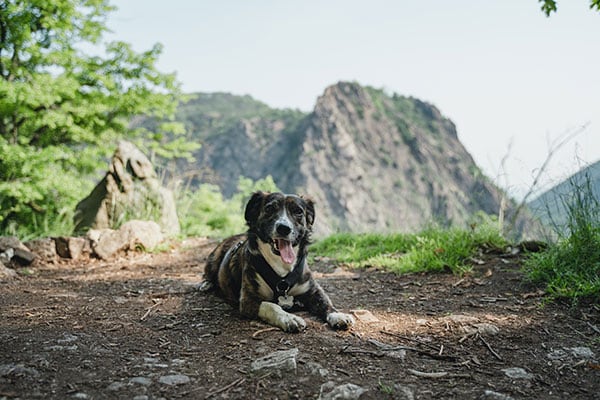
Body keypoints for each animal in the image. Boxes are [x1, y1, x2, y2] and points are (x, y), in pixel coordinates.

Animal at [202, 191, 355, 332]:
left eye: (298, 211)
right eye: (269, 208)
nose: (284, 228)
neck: (281, 266)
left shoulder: (313, 290)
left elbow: (325, 302)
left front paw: (338, 315)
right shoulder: (248, 301)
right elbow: (271, 306)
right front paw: (290, 318)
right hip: (213, 259)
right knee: (207, 273)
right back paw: (206, 284)